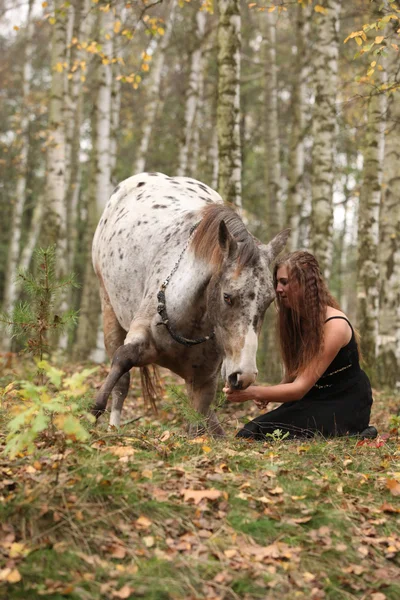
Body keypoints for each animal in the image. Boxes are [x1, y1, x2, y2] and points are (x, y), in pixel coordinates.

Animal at [92, 171, 290, 434]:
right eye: (227, 296)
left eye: (268, 301)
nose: (243, 375)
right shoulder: (140, 334)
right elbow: (124, 358)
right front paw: (96, 408)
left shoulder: (202, 381)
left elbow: (199, 425)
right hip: (108, 308)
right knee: (122, 382)